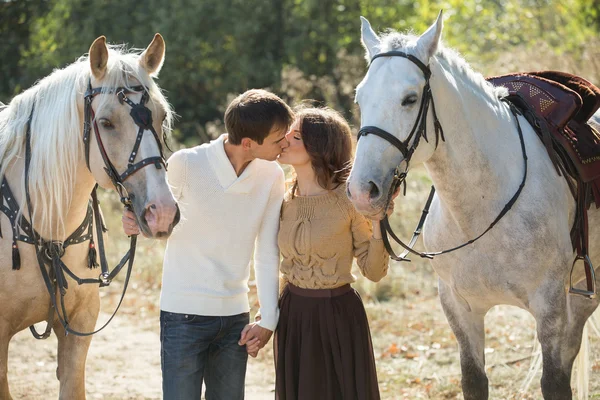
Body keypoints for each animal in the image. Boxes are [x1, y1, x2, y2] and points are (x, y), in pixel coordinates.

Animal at [350, 13, 596, 400]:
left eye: (409, 98)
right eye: (360, 98)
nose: (362, 191)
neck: (481, 205)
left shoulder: (551, 306)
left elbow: (555, 382)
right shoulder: (458, 307)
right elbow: (473, 380)